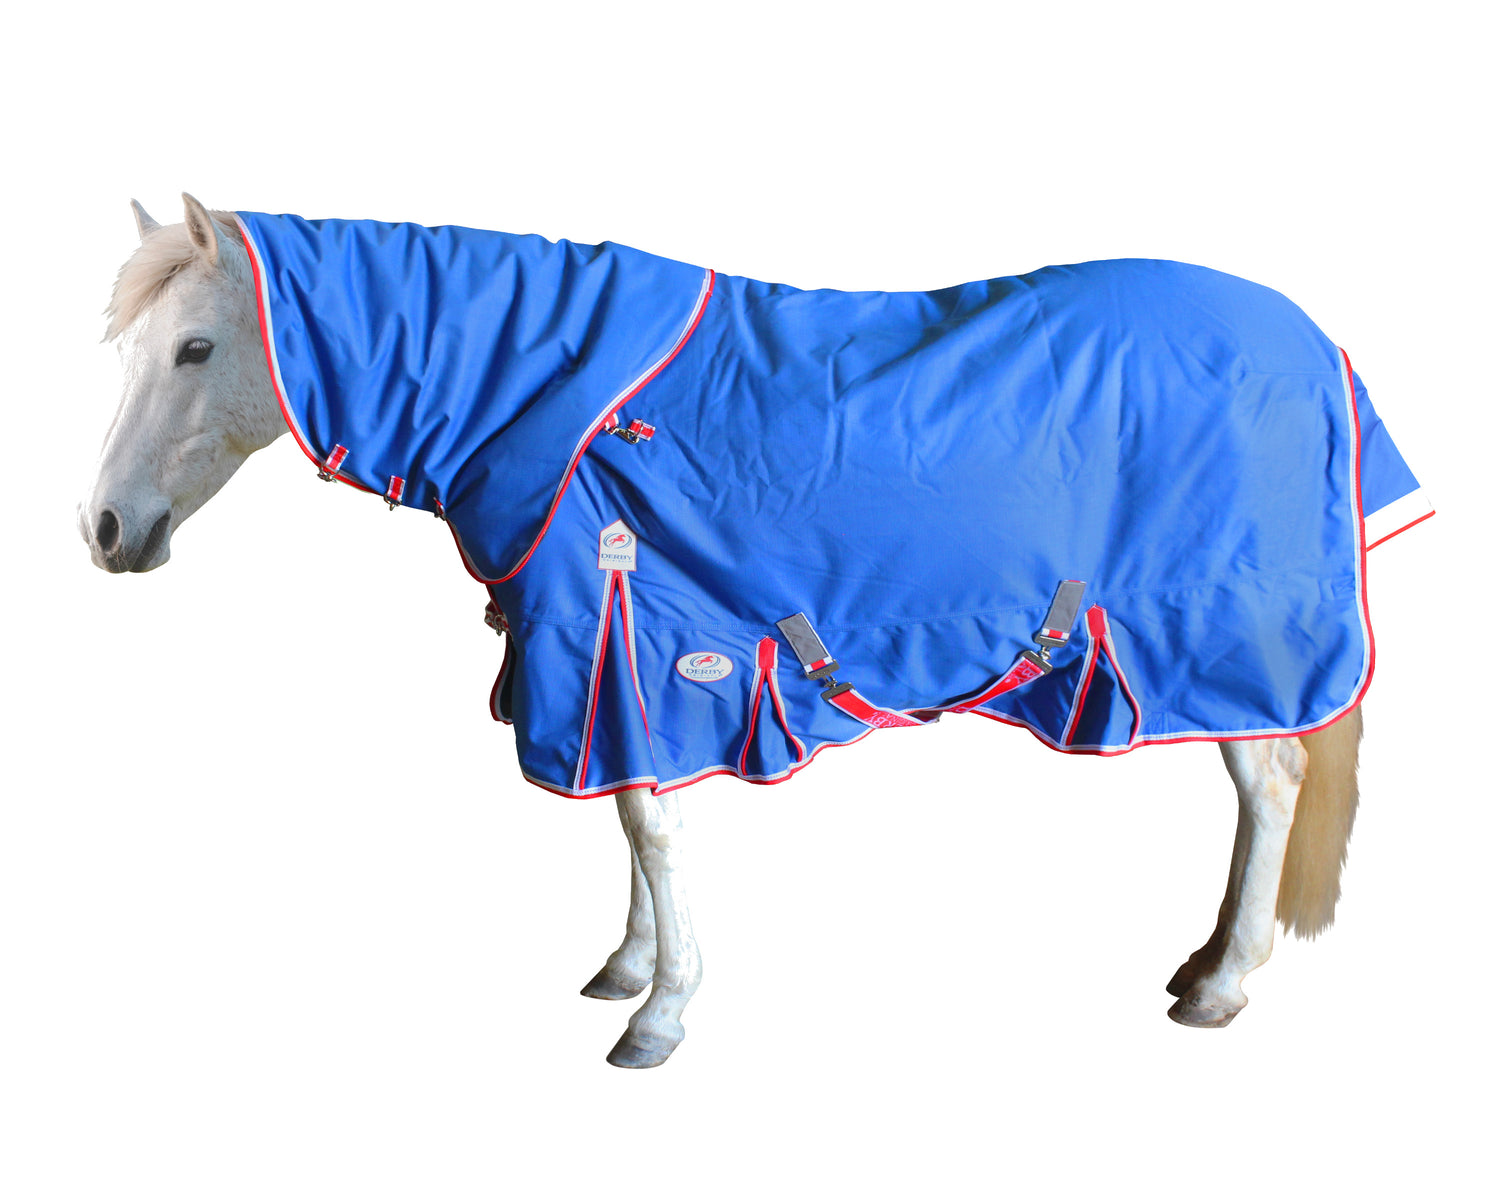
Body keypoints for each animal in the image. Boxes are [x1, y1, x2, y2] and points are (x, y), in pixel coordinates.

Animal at [80, 193, 1424, 1068]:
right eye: (131, 347)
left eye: (195, 347)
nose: (103, 528)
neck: (555, 401)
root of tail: (1314, 340)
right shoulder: (611, 653)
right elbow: (625, 811)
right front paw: (627, 968)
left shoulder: (638, 638)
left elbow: (652, 828)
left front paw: (659, 1015)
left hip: (1221, 629)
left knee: (1271, 782)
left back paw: (1224, 983)